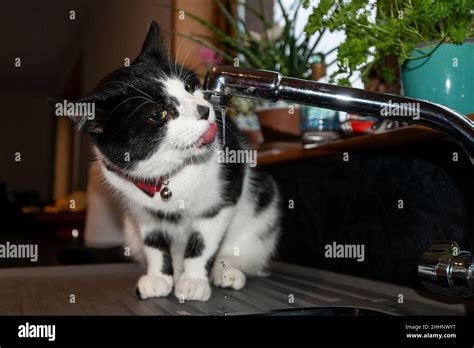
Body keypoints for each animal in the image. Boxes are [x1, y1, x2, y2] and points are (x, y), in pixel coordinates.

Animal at [57, 21, 284, 300]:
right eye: (158, 114)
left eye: (188, 86)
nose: (204, 110)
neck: (171, 175)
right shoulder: (141, 211)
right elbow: (154, 243)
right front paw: (158, 277)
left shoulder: (222, 197)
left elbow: (202, 242)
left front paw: (194, 280)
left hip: (262, 211)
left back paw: (227, 271)